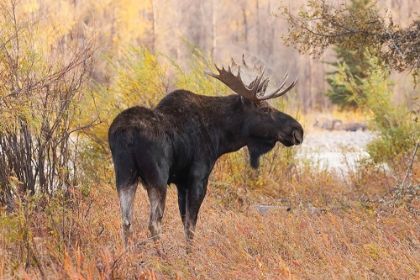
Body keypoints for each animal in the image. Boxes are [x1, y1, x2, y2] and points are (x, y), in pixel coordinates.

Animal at [108, 55, 304, 253]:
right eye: (265, 109)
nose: (298, 130)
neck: (220, 137)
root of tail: (127, 133)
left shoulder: (181, 183)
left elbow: (184, 221)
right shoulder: (198, 177)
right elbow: (191, 226)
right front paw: (190, 256)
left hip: (124, 176)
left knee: (126, 222)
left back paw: (128, 257)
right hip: (157, 178)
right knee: (153, 223)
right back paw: (163, 257)